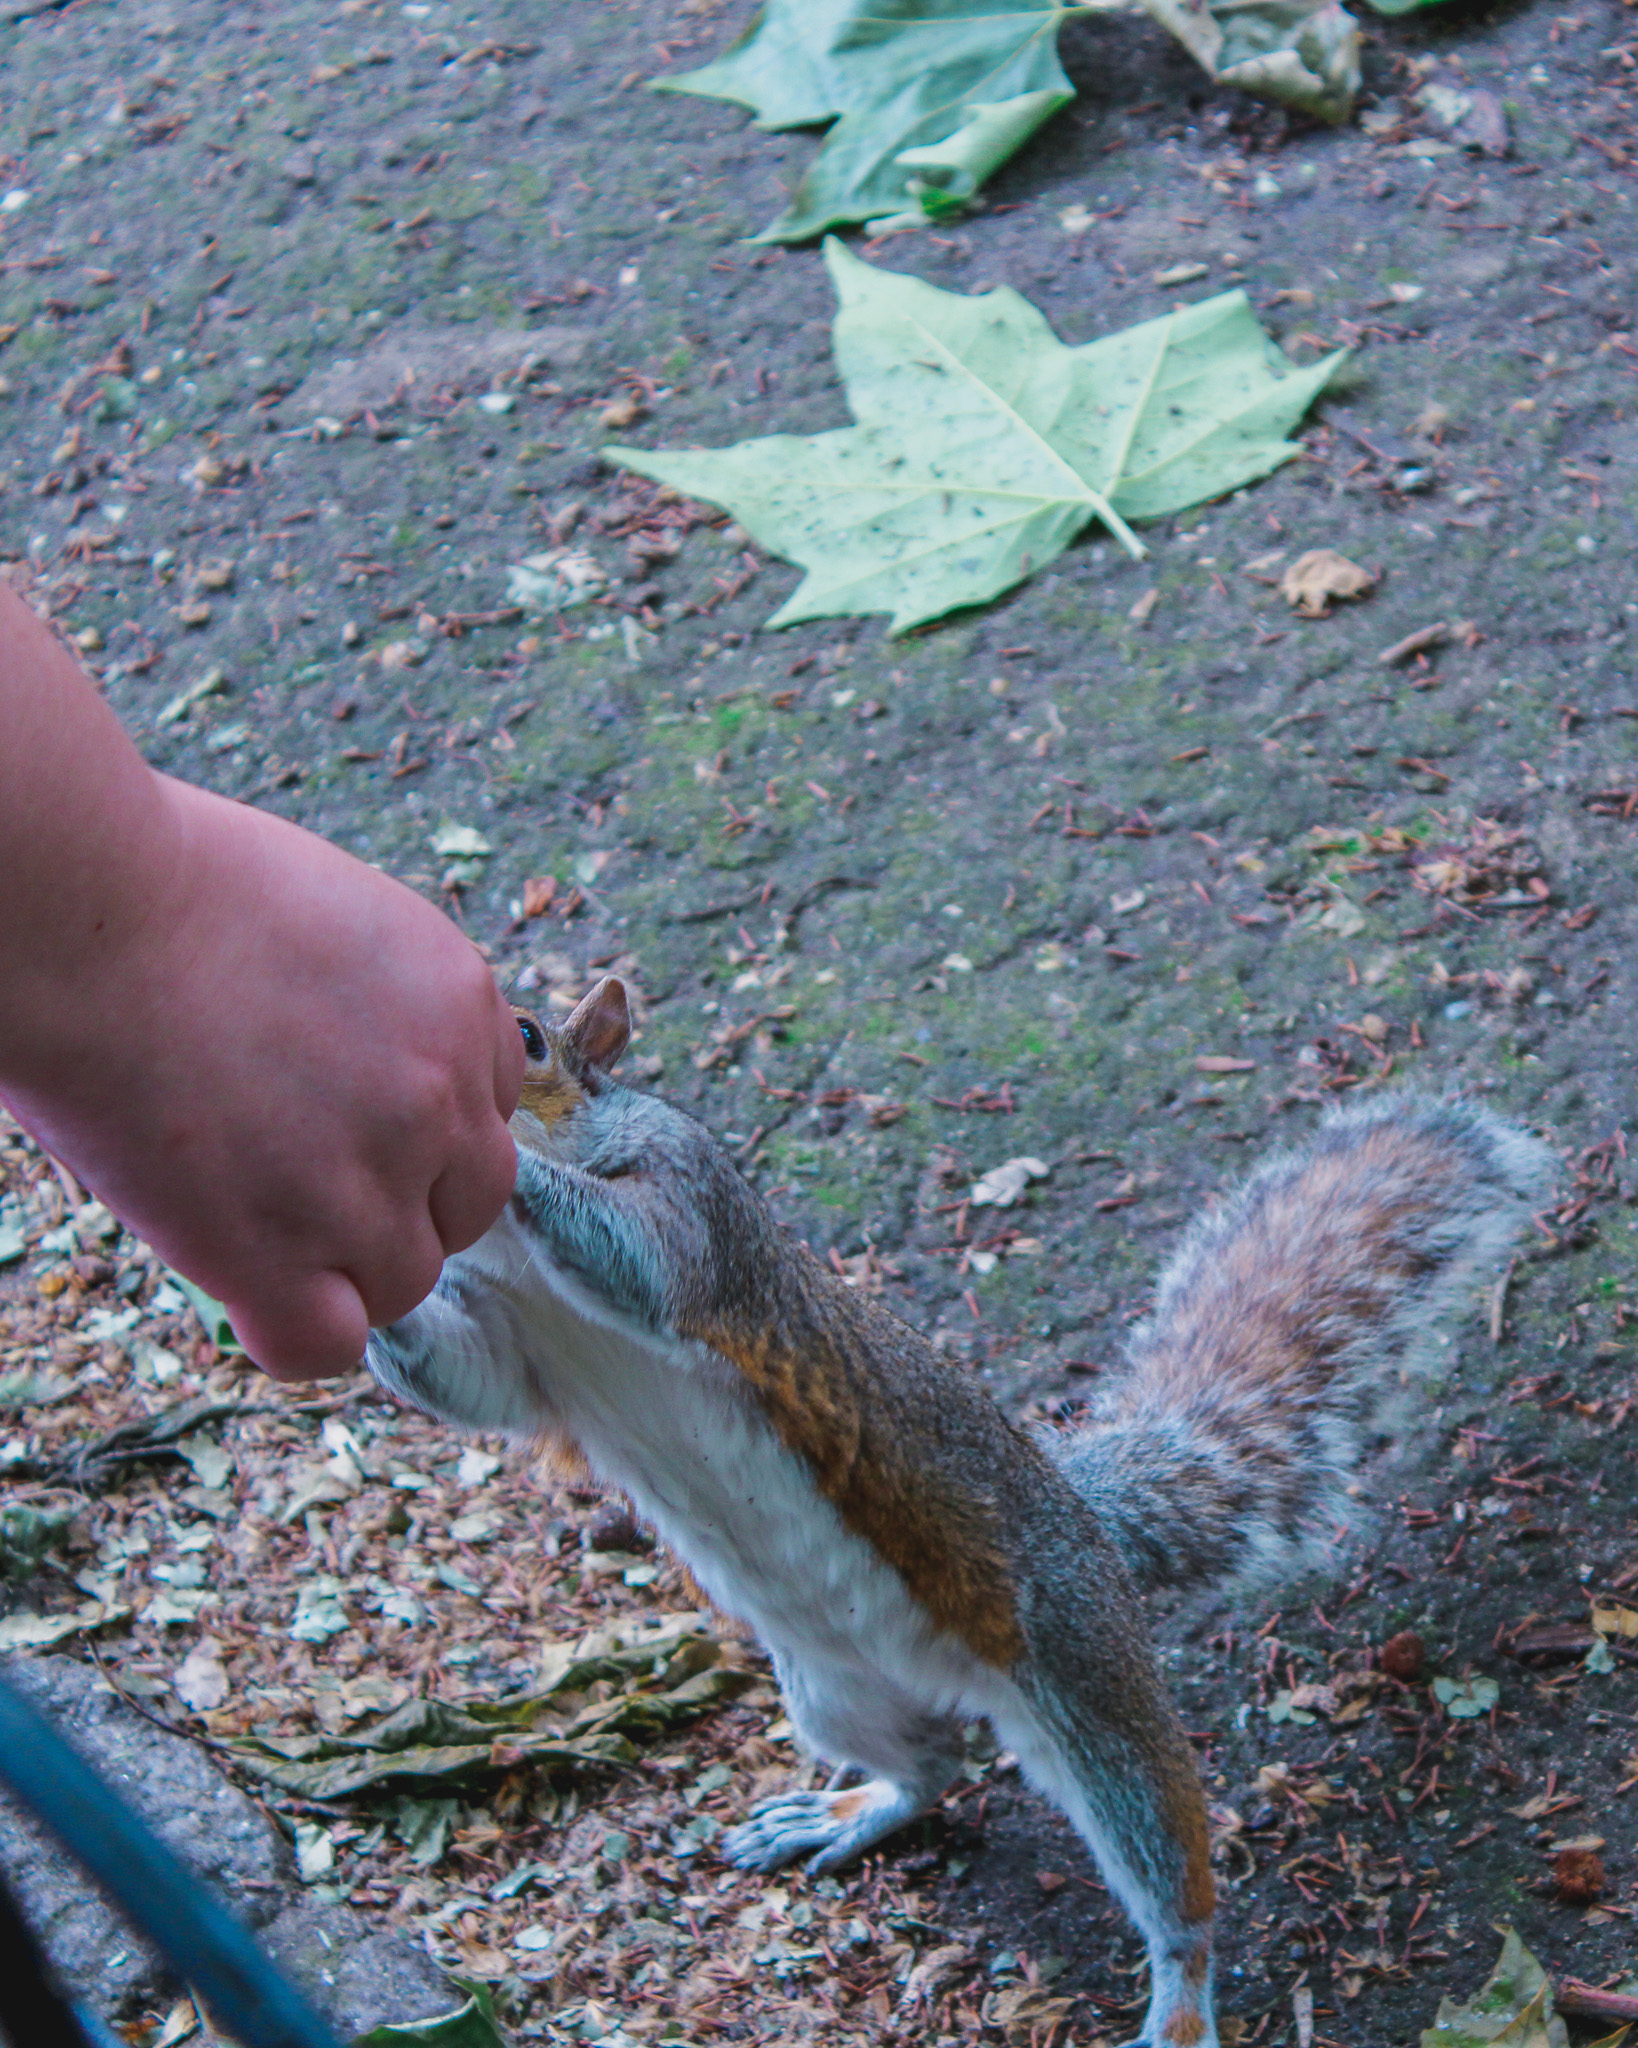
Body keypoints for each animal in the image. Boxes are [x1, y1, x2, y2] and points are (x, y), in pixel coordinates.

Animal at [364, 978, 1556, 2048]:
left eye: (528, 1035)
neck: (514, 1264)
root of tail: (1089, 1521)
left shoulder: (694, 1202)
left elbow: (642, 1260)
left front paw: (506, 1162)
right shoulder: (512, 1354)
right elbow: (466, 1378)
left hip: (1081, 1678)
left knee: (1168, 1867)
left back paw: (1179, 1999)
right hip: (832, 1684)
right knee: (932, 1765)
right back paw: (847, 1811)